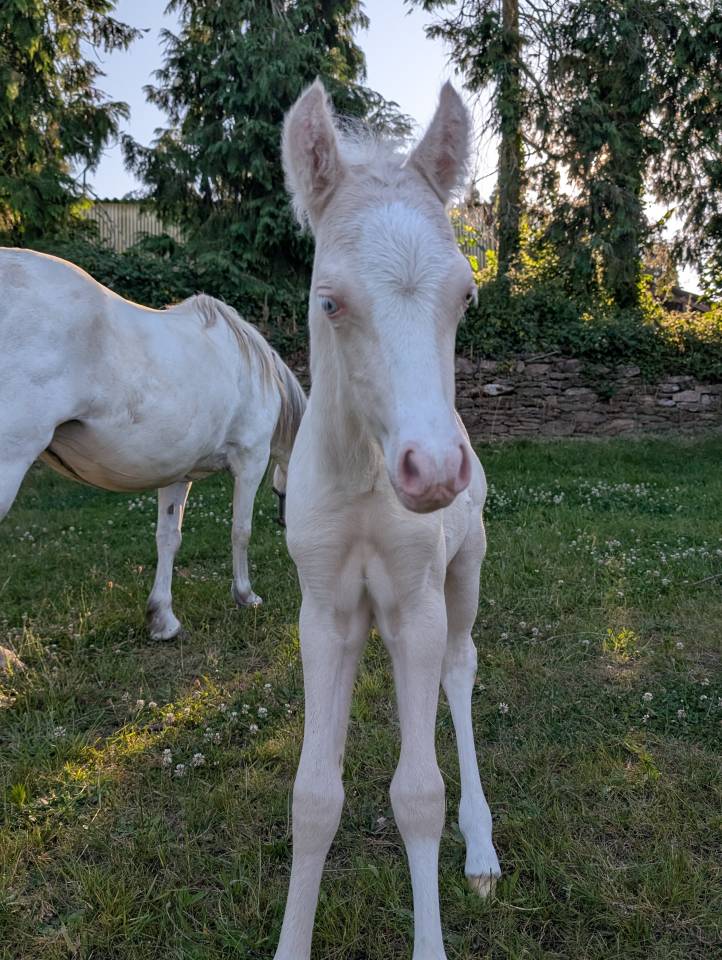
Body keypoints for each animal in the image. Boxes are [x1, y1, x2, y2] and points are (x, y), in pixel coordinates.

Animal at [0, 249, 306, 639]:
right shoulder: (251, 460)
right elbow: (241, 530)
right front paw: (245, 595)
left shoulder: (177, 472)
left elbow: (168, 537)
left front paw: (162, 618)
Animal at [274, 81, 500, 960]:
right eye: (330, 302)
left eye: (466, 295)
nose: (432, 469)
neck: (366, 481)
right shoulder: (324, 610)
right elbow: (312, 797)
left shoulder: (414, 602)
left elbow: (418, 794)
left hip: (464, 571)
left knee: (461, 670)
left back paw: (482, 846)